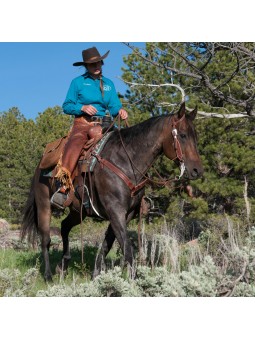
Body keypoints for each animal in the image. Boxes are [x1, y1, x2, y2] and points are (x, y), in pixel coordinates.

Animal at [19, 101, 203, 282]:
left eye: (195, 136)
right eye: (182, 135)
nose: (197, 170)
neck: (126, 161)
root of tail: (41, 163)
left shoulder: (126, 214)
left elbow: (107, 243)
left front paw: (96, 275)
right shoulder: (115, 210)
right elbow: (127, 249)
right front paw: (134, 281)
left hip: (78, 211)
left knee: (64, 226)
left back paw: (63, 265)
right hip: (44, 205)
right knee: (45, 239)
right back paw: (48, 275)